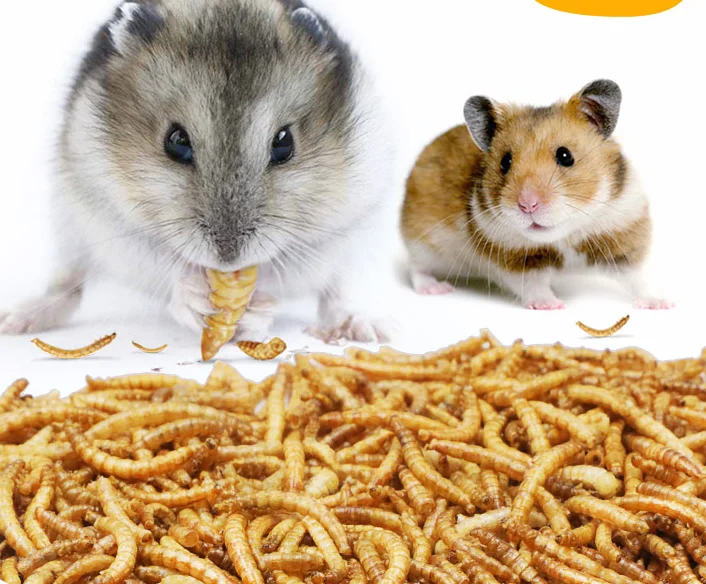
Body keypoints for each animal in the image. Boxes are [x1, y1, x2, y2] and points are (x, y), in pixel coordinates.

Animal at [0, 0, 392, 343]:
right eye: (176, 141)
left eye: (284, 143)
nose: (228, 257)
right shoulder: (112, 224)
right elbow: (167, 269)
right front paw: (197, 300)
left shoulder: (335, 229)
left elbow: (282, 269)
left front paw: (256, 310)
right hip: (71, 232)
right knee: (68, 288)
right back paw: (15, 320)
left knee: (336, 296)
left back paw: (368, 329)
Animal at [401, 80, 671, 310]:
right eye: (505, 162)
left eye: (565, 156)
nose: (527, 205)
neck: (564, 235)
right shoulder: (516, 257)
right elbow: (533, 284)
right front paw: (552, 306)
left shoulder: (622, 235)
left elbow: (637, 278)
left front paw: (661, 304)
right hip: (421, 242)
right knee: (417, 269)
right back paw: (436, 288)